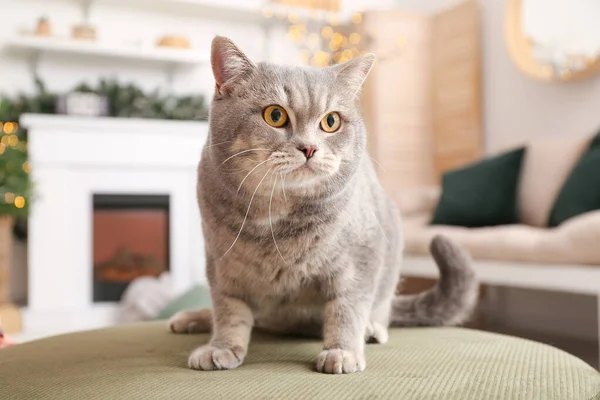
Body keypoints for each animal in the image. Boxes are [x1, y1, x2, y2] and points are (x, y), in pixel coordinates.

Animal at [169, 36, 478, 374]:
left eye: (331, 121)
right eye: (275, 115)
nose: (309, 148)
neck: (276, 219)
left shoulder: (361, 258)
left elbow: (348, 307)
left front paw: (342, 351)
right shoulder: (222, 265)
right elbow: (228, 310)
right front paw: (222, 346)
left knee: (380, 310)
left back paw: (372, 329)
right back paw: (194, 317)